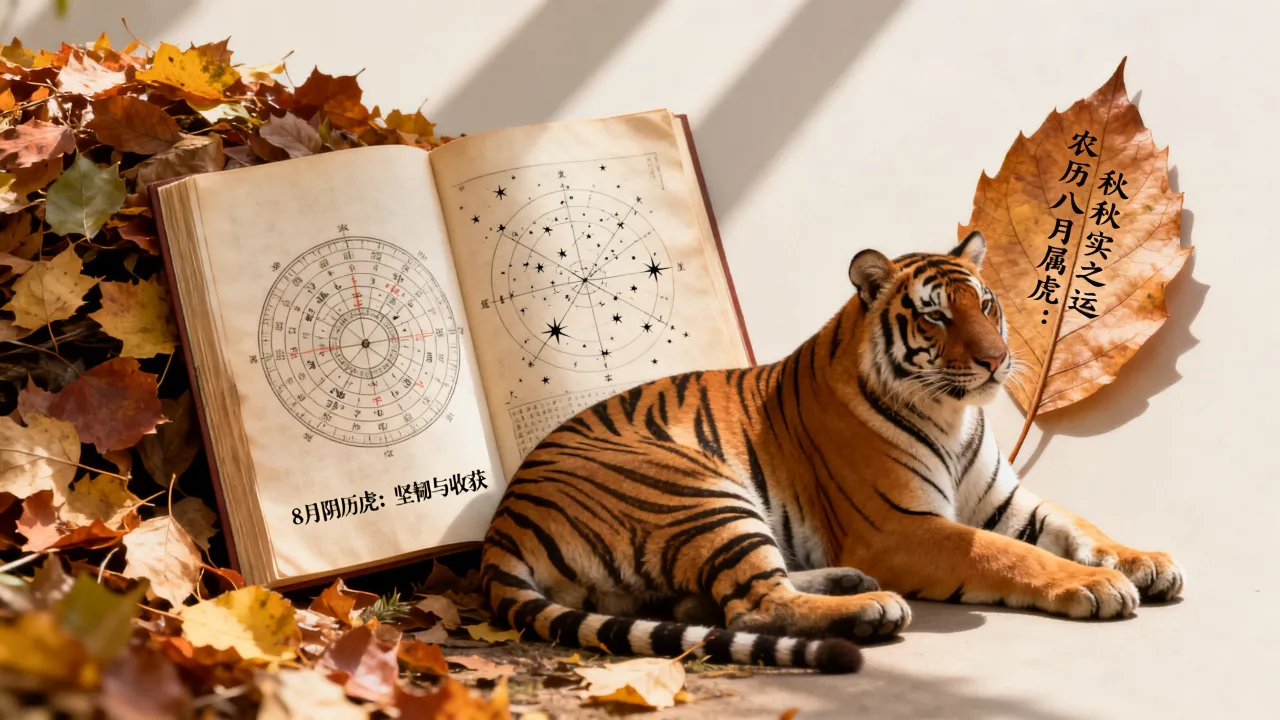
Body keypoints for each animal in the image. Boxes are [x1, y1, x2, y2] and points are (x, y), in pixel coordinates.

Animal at [478, 231, 1184, 674]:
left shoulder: (1003, 500)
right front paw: (1097, 585)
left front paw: (1145, 562)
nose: (996, 360)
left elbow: (1077, 525)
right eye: (935, 316)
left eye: (986, 305)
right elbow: (1008, 555)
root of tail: (501, 526)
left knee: (713, 603)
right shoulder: (899, 527)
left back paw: (850, 584)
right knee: (754, 604)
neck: (954, 416)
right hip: (698, 489)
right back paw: (870, 607)